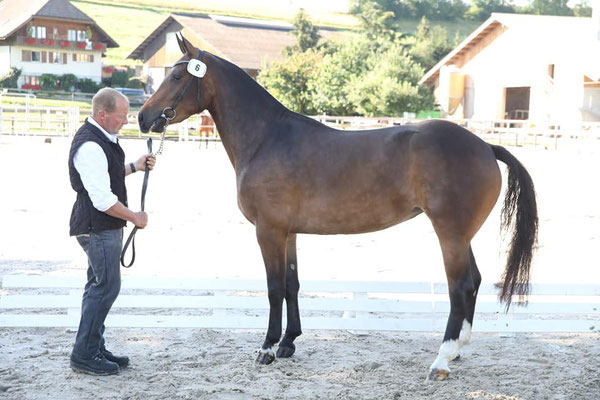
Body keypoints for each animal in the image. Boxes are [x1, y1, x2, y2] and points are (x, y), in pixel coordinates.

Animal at [138, 35, 536, 382]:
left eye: (177, 76)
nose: (143, 118)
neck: (267, 138)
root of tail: (486, 146)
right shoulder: (289, 232)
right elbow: (292, 284)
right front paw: (288, 344)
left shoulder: (268, 230)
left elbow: (273, 288)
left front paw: (266, 349)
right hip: (461, 235)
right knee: (474, 282)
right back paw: (456, 352)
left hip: (450, 234)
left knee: (461, 286)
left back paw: (441, 360)